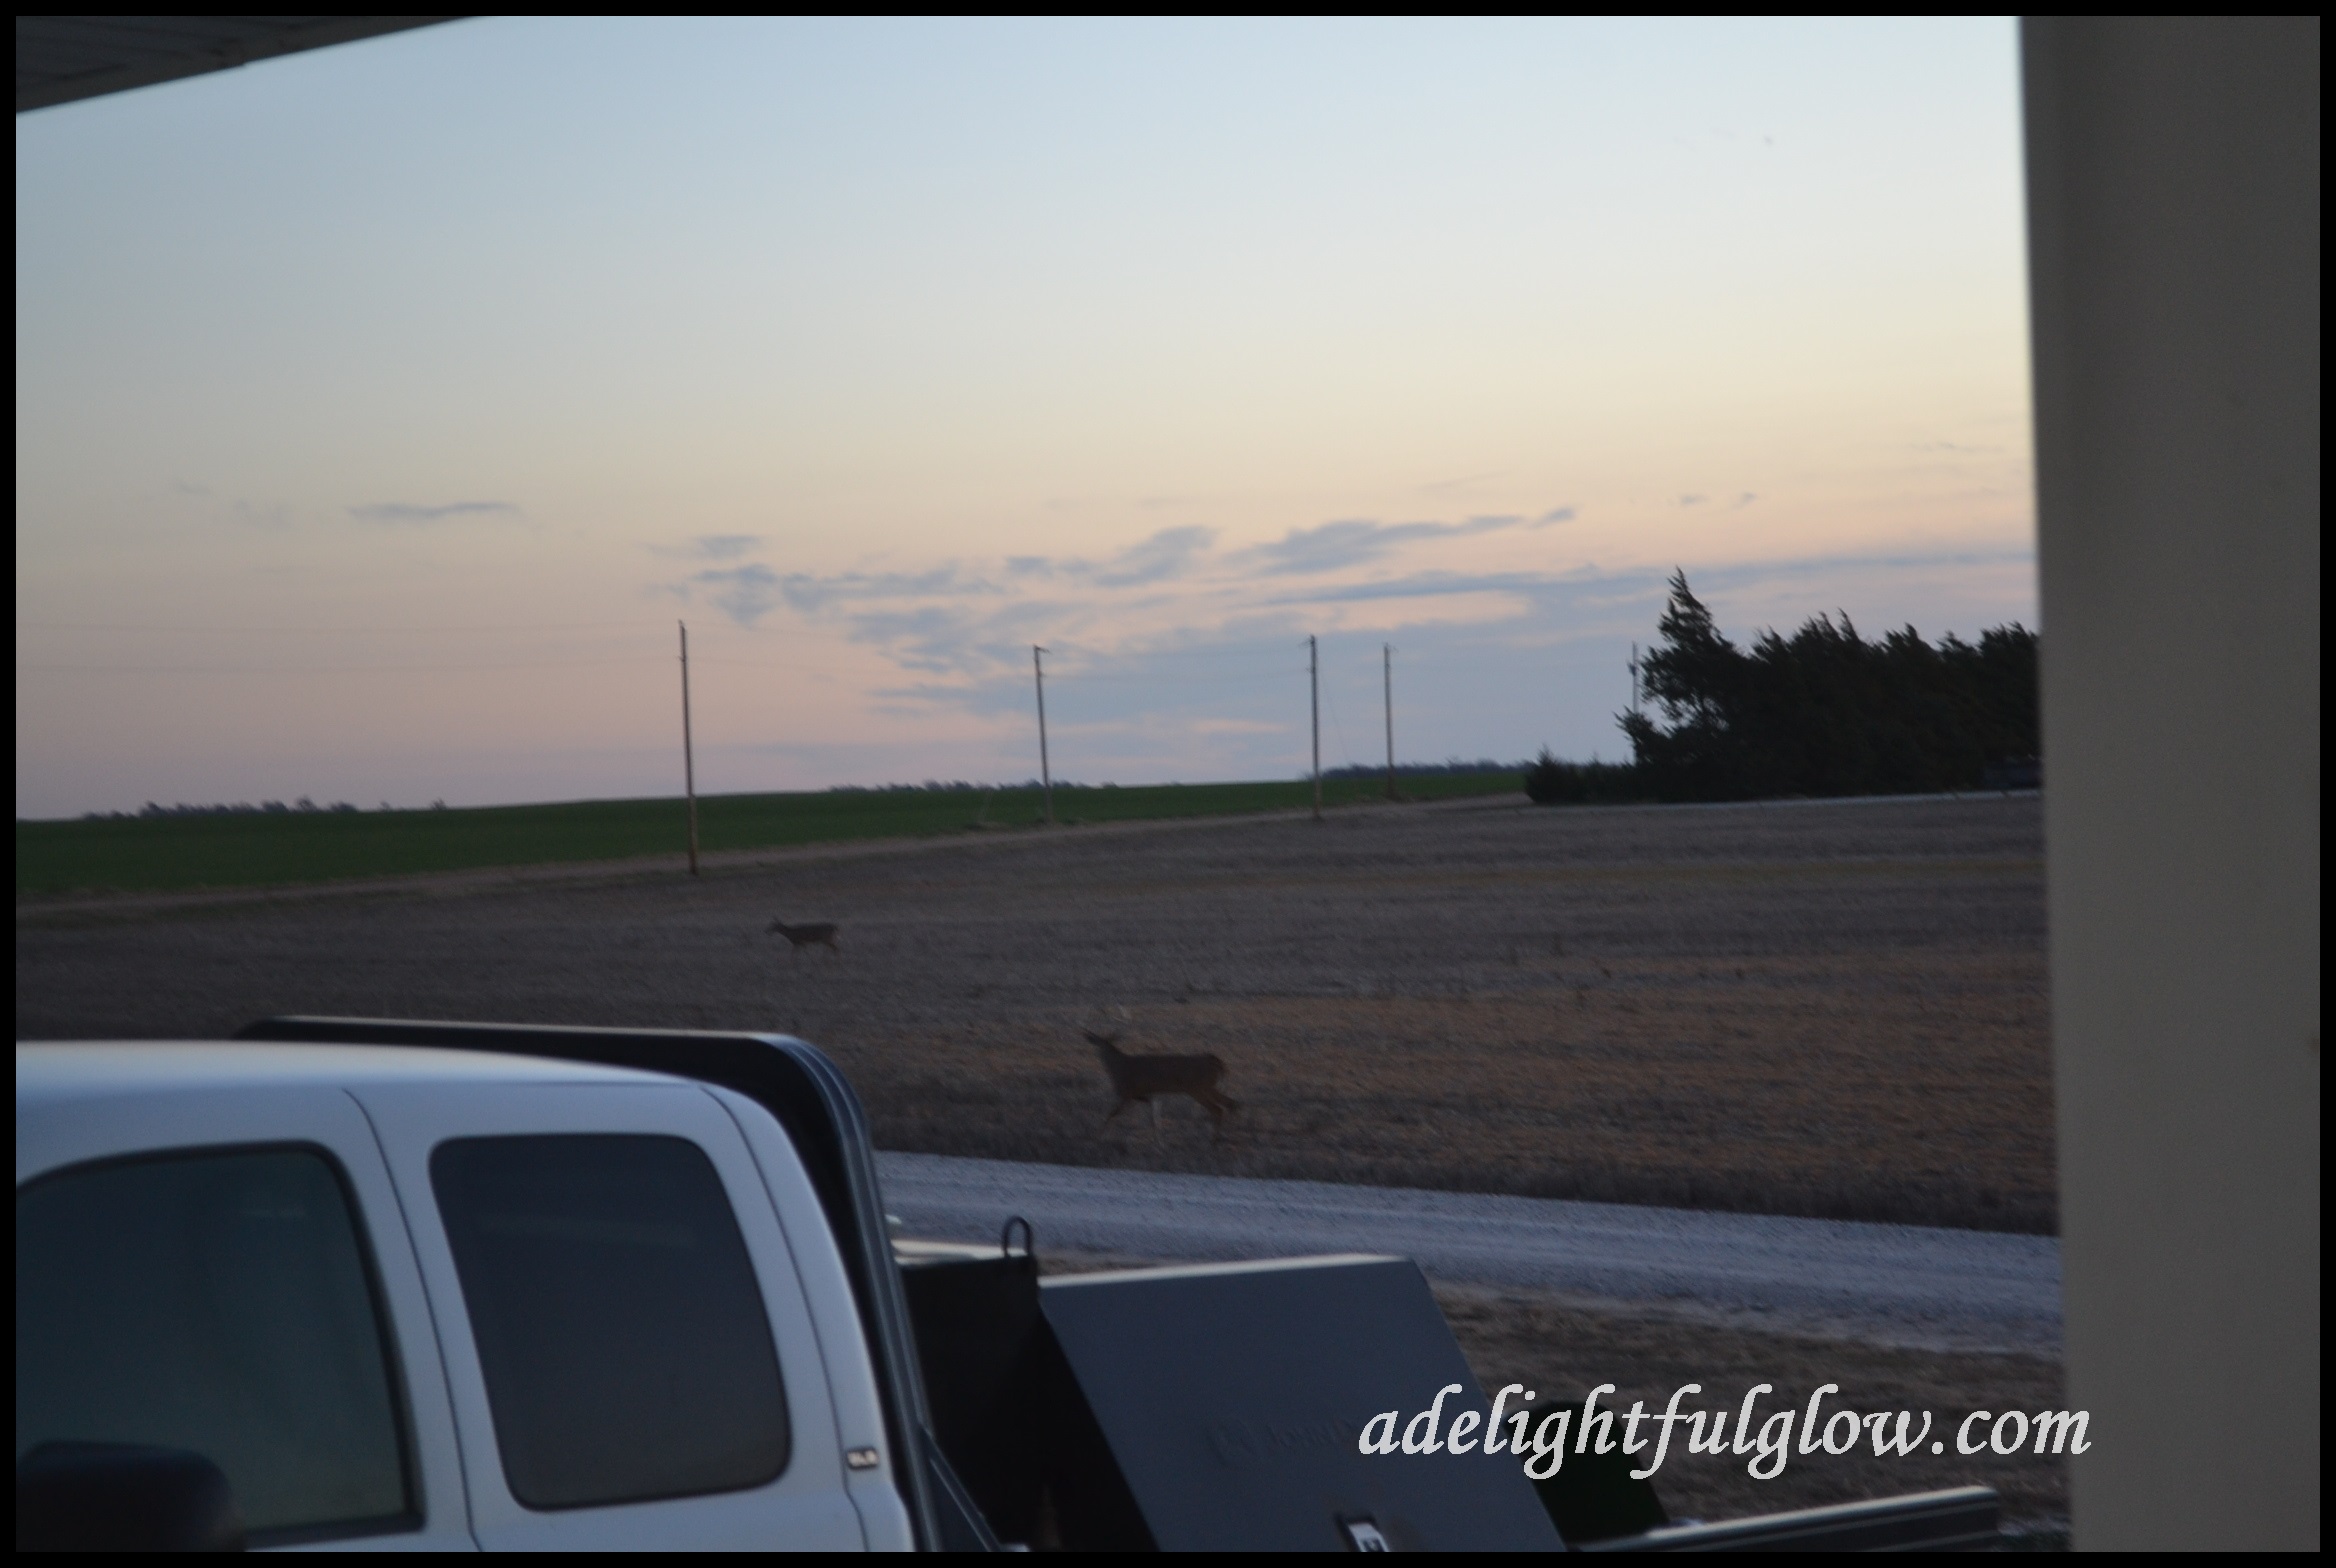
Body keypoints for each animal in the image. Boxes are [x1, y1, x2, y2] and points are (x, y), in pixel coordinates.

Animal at [1082, 1029, 1238, 1142]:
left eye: (1099, 1044)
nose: (1090, 1038)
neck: (1117, 1067)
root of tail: (1216, 1061)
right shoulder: (1147, 1094)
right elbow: (1154, 1118)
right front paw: (1159, 1143)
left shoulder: (1127, 1092)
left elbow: (1112, 1114)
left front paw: (1099, 1136)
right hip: (1206, 1087)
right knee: (1230, 1103)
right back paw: (1225, 1135)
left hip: (1197, 1088)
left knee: (1217, 1108)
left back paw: (1214, 1139)